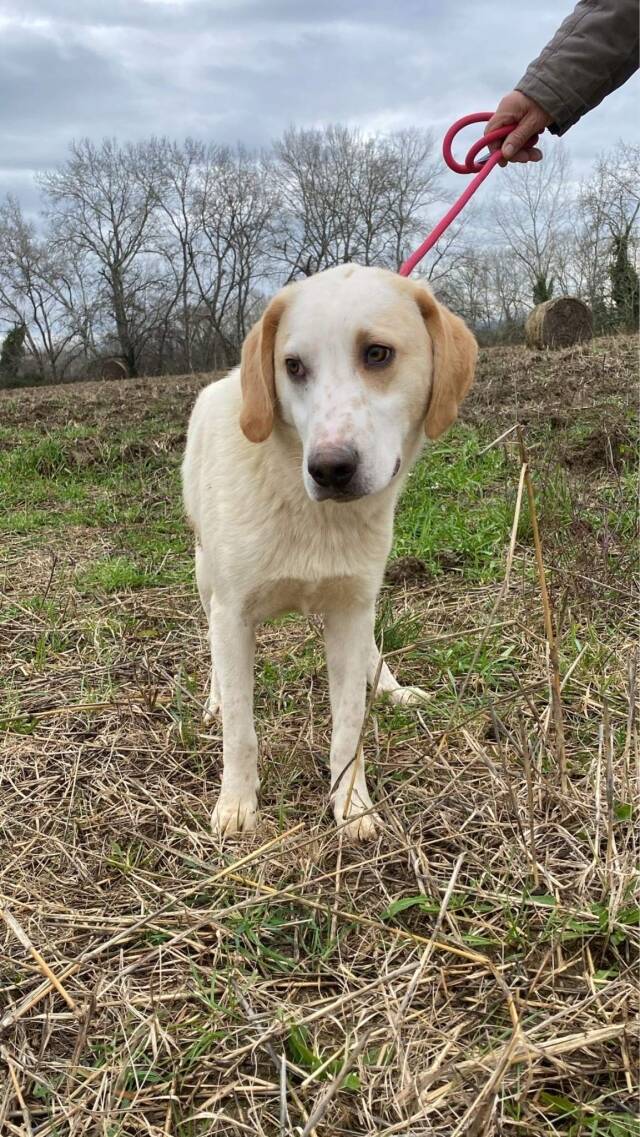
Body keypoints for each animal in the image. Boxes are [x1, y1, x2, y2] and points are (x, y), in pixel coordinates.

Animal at [182, 264, 477, 839]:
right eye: (293, 366)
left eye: (378, 354)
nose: (330, 468)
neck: (306, 507)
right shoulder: (233, 614)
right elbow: (240, 729)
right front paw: (237, 805)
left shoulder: (349, 608)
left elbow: (348, 726)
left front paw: (353, 805)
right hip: (205, 578)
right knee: (213, 655)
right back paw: (212, 699)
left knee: (370, 652)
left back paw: (389, 686)